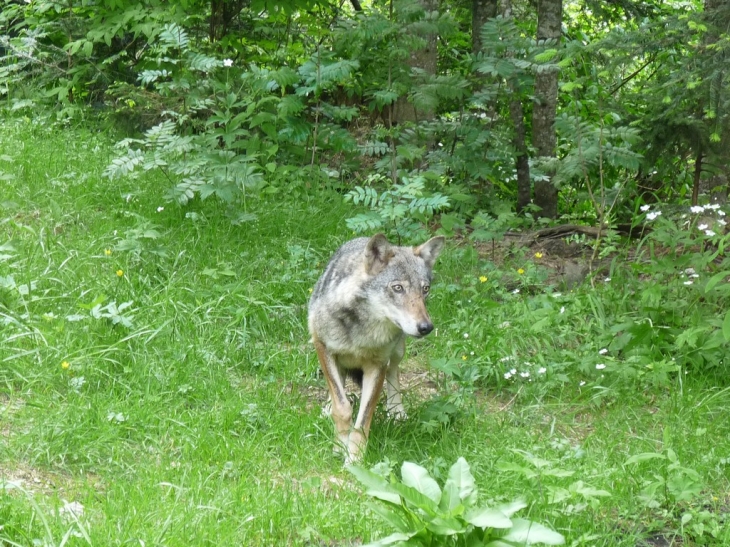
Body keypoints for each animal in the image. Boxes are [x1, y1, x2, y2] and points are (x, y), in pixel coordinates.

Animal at [304, 233, 440, 464]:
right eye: (398, 288)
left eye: (425, 289)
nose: (426, 327)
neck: (364, 331)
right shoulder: (323, 347)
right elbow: (342, 407)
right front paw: (339, 447)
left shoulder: (377, 366)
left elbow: (363, 420)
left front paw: (354, 459)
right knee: (338, 385)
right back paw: (328, 408)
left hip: (398, 351)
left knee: (394, 373)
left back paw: (396, 411)